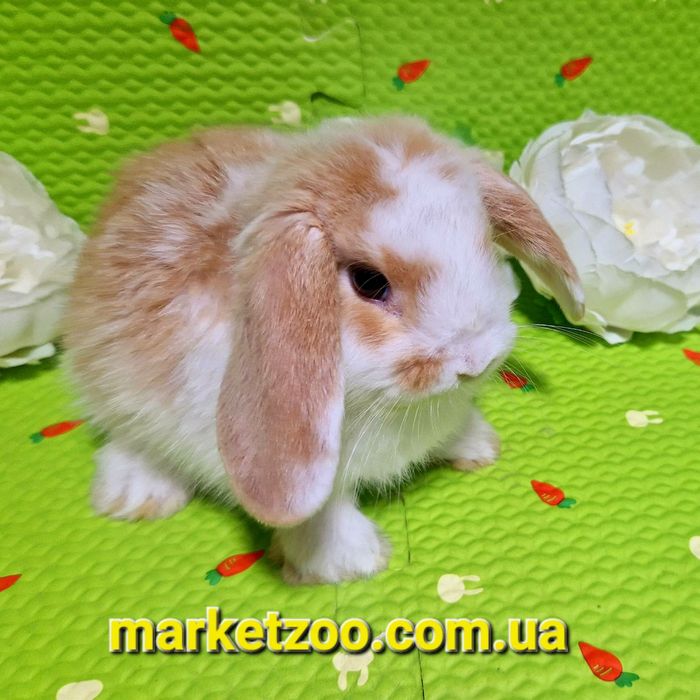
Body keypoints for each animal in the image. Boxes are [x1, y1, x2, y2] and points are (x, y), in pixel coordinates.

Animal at [62, 116, 583, 584]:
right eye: (369, 282)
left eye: (485, 245)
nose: (476, 360)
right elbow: (320, 509)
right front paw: (352, 561)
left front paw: (476, 445)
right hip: (114, 381)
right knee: (129, 433)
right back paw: (136, 495)